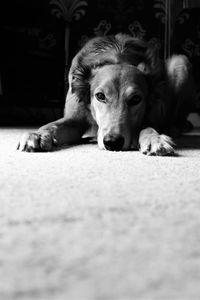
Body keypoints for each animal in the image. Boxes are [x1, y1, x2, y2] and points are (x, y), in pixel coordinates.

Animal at [16, 33, 195, 156]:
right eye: (100, 96)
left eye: (136, 99)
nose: (112, 143)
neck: (117, 57)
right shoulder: (74, 119)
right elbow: (52, 125)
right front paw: (38, 135)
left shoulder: (150, 117)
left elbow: (148, 127)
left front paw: (155, 139)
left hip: (181, 62)